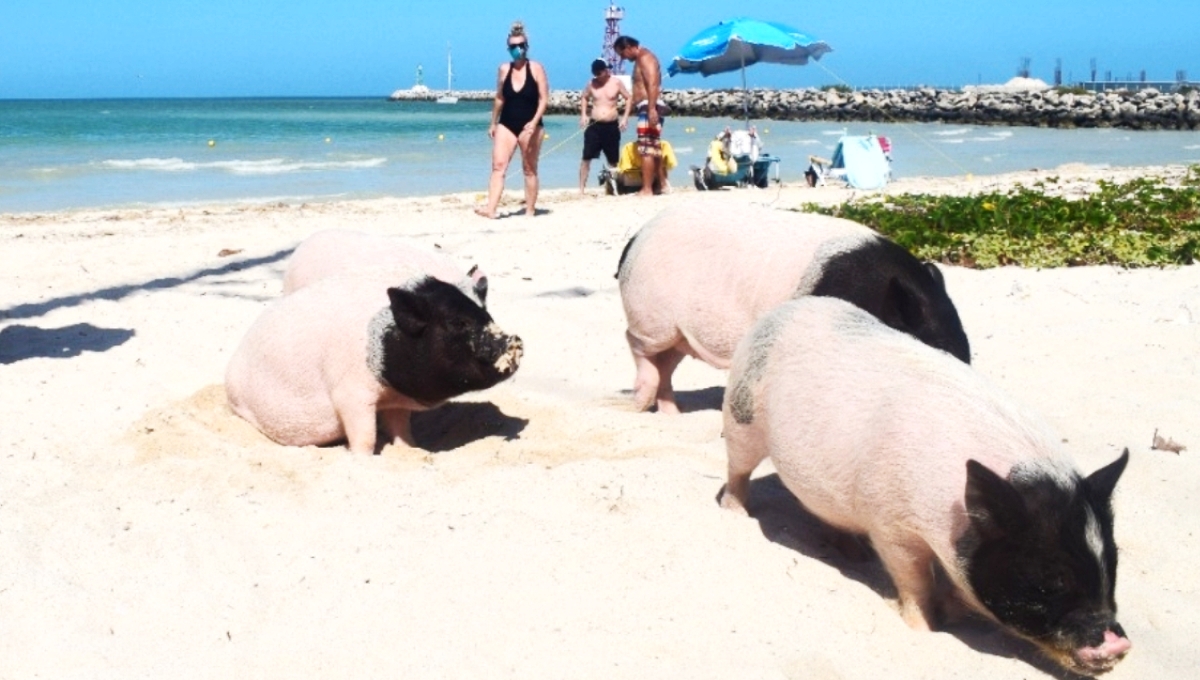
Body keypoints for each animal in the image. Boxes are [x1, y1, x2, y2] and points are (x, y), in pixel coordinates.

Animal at [720, 296, 1132, 676]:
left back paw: (856, 556)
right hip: (741, 415)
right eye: (1051, 576)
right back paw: (737, 514)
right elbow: (914, 581)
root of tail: (785, 309)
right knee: (737, 471)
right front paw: (927, 629)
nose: (1118, 643)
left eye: (1113, 562)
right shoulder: (893, 526)